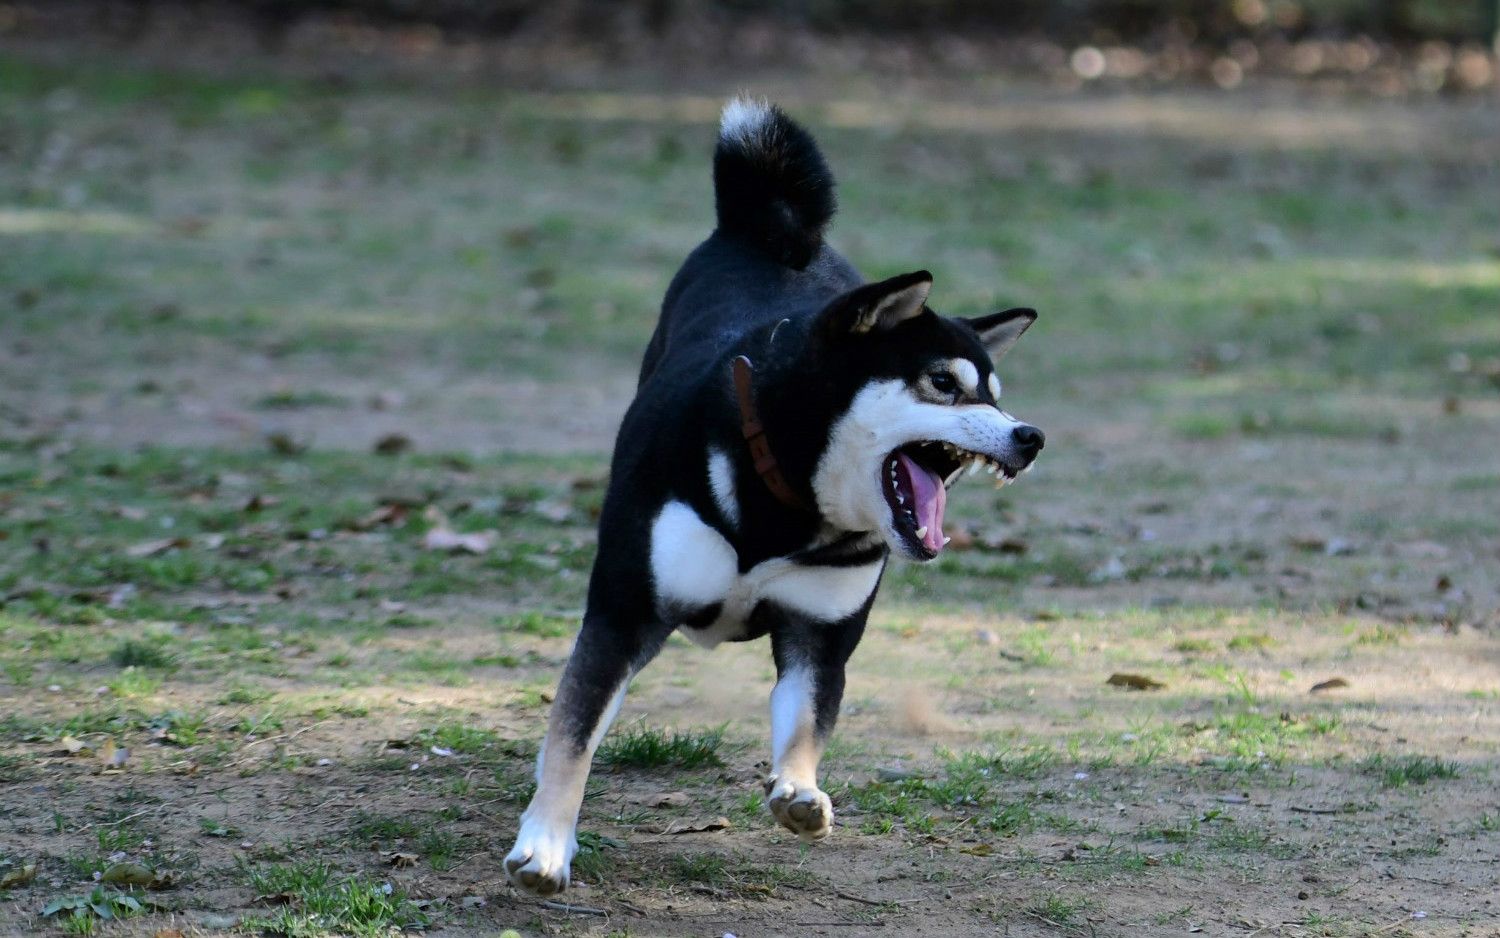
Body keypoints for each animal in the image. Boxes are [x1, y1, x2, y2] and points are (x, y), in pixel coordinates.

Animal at [504, 95, 1044, 894]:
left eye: (999, 398)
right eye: (943, 383)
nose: (1030, 436)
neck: (787, 501)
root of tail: (776, 236)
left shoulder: (818, 635)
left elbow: (806, 721)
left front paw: (799, 790)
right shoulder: (623, 616)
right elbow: (572, 738)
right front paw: (544, 845)